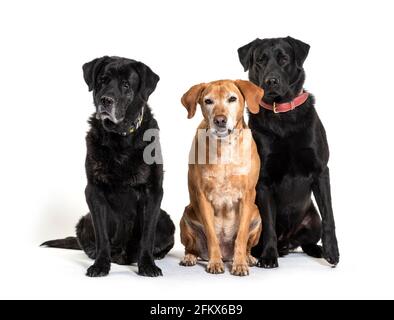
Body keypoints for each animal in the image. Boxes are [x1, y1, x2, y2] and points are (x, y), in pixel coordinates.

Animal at [41, 56, 174, 276]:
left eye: (126, 85)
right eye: (102, 80)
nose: (106, 100)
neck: (120, 138)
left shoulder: (153, 191)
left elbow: (147, 235)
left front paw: (147, 264)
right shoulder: (94, 191)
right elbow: (102, 234)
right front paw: (101, 264)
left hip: (166, 221)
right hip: (84, 220)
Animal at [180, 79, 264, 276]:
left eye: (232, 99)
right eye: (208, 101)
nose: (220, 120)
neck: (224, 146)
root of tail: (227, 254)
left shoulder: (248, 195)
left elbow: (241, 236)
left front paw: (240, 264)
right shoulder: (202, 196)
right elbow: (212, 235)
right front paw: (215, 262)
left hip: (257, 215)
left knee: (246, 244)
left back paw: (247, 257)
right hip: (186, 216)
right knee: (191, 247)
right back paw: (191, 257)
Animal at [239, 37, 340, 268]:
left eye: (283, 59)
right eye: (260, 60)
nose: (271, 81)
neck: (282, 116)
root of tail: (287, 241)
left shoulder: (321, 171)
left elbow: (329, 216)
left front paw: (332, 251)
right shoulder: (264, 180)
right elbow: (268, 225)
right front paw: (268, 256)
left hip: (312, 220)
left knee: (307, 241)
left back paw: (317, 249)